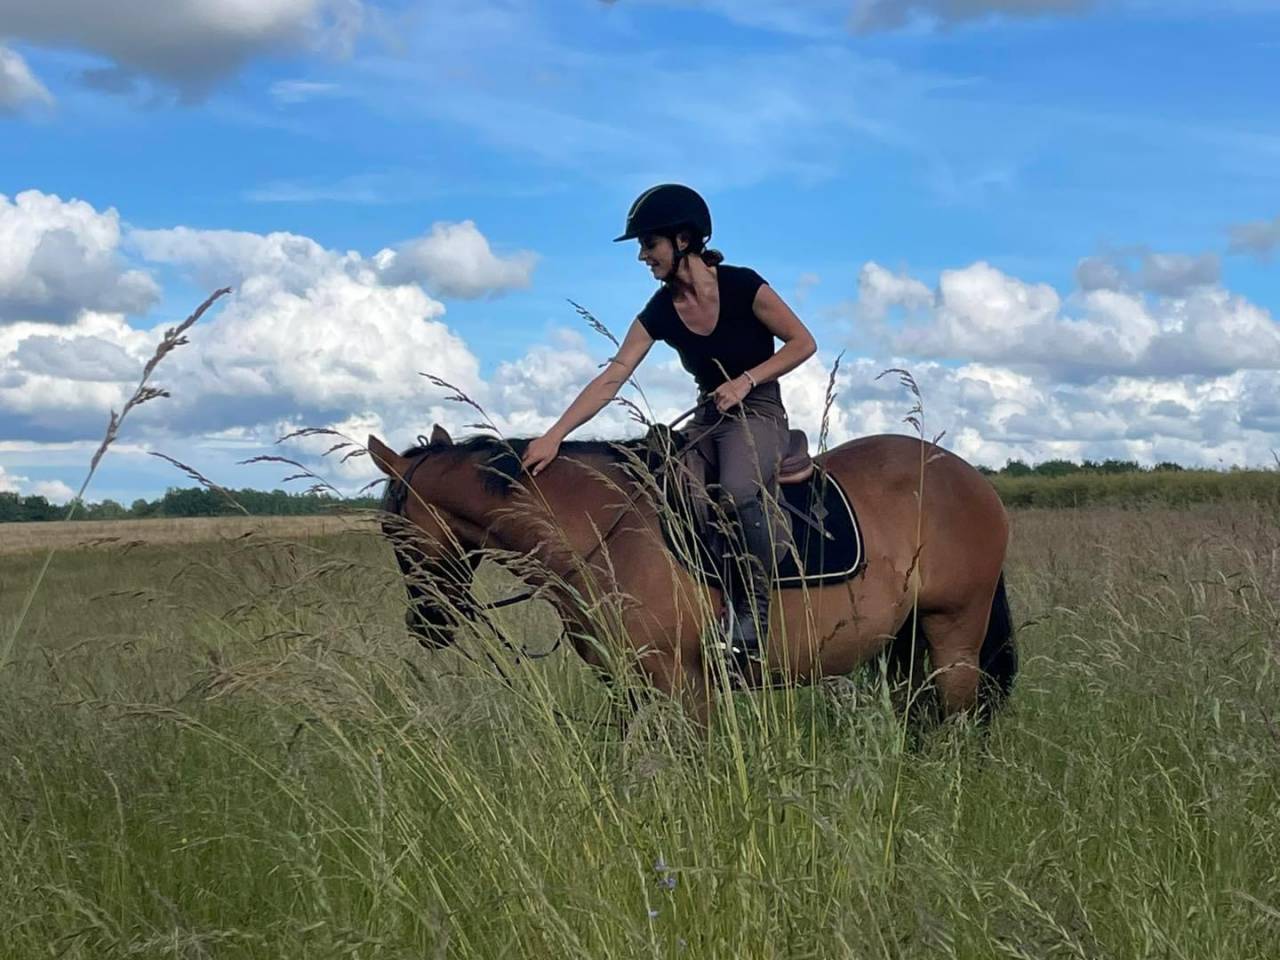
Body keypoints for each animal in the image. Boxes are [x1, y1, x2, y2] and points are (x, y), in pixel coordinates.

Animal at [367, 425, 1015, 726]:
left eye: (391, 530)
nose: (425, 625)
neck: (602, 532)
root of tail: (969, 477)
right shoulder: (626, 685)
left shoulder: (683, 684)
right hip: (906, 644)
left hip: (955, 634)